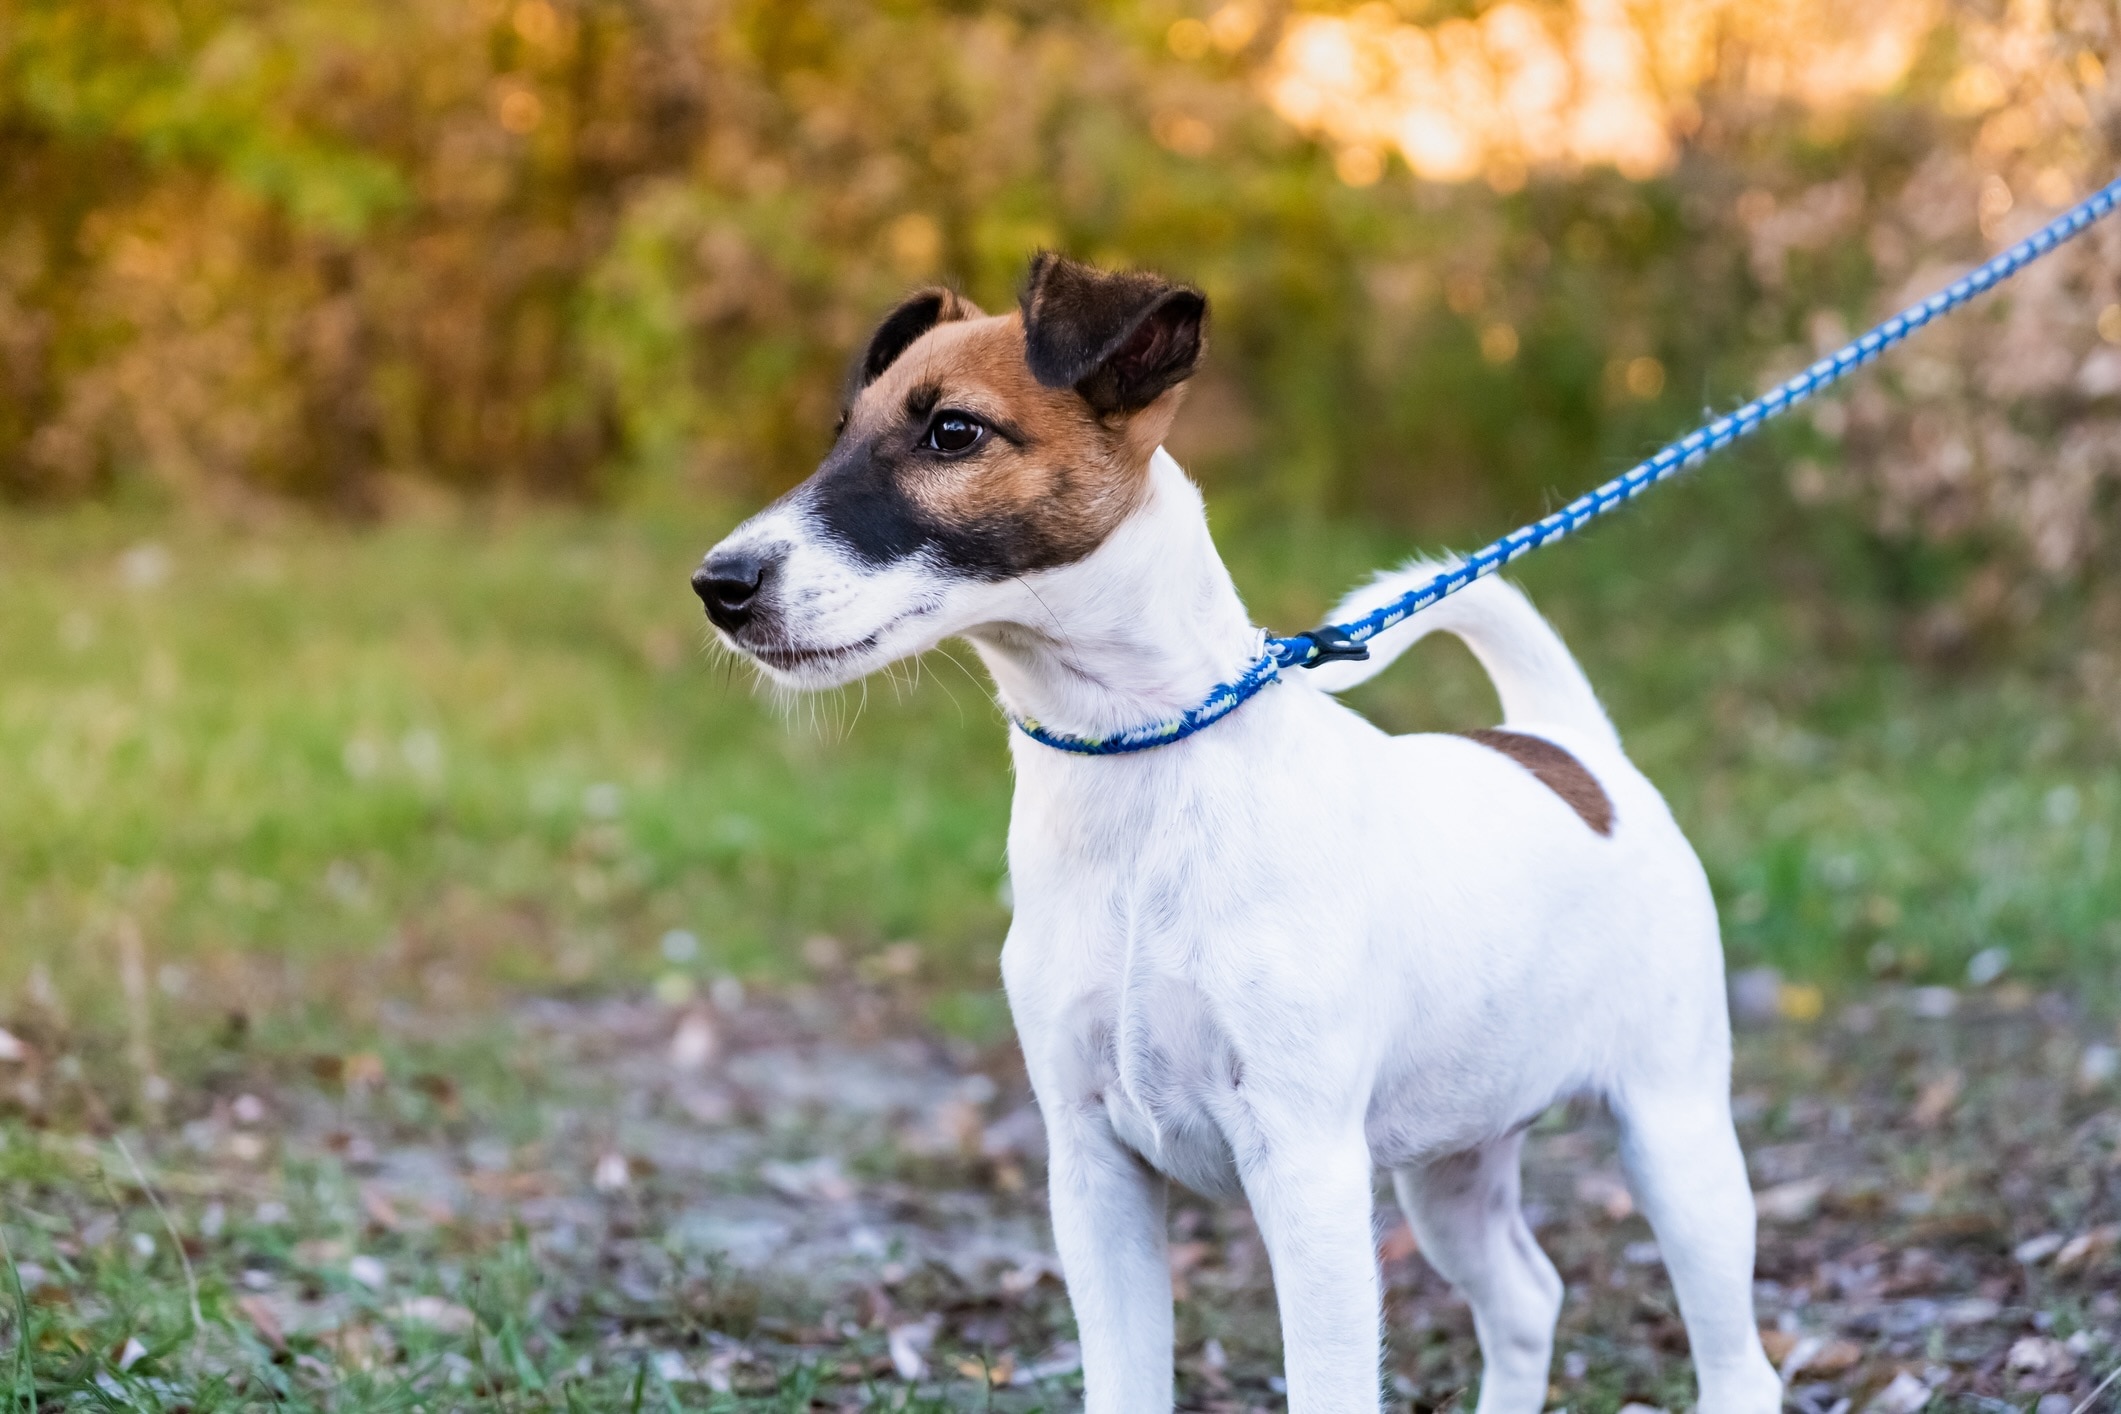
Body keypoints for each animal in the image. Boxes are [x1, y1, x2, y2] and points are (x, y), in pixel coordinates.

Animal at [695, 254, 1790, 1414]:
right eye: (838, 432)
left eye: (953, 432)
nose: (718, 585)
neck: (1141, 777)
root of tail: (1572, 748)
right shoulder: (1093, 1168)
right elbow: (1124, 1383)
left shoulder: (1306, 1169)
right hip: (1452, 1157)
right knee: (1527, 1296)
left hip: (1677, 1135)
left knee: (1737, 1361)